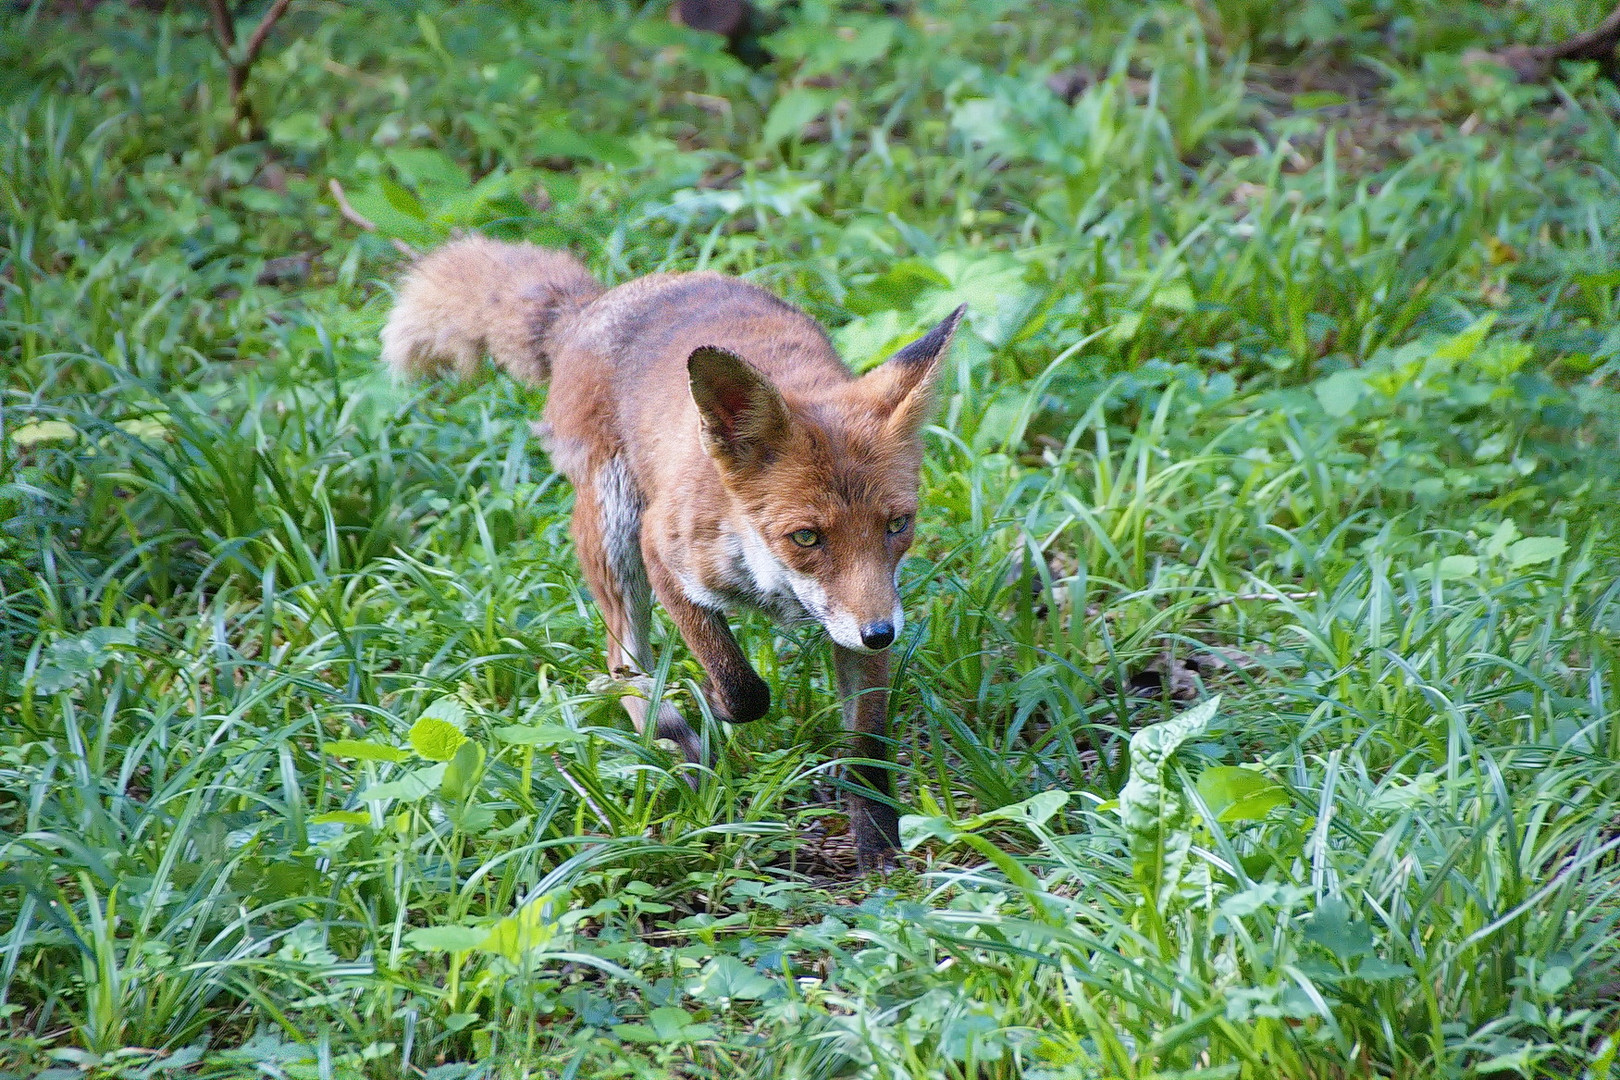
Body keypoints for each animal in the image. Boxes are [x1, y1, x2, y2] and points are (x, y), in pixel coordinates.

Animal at [379, 236, 959, 867]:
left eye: (898, 525)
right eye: (806, 537)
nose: (882, 634)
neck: (768, 579)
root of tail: (595, 305)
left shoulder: (862, 609)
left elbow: (868, 739)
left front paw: (878, 839)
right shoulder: (666, 557)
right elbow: (744, 688)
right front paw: (713, 703)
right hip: (615, 530)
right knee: (620, 663)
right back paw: (676, 739)